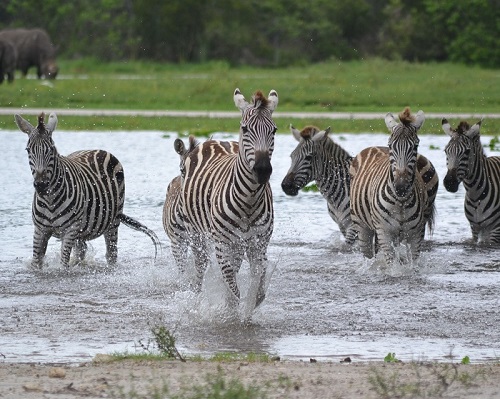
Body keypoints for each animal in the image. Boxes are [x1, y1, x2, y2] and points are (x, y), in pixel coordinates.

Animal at [15, 111, 160, 268]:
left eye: (52, 150)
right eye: (28, 150)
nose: (41, 185)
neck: (50, 200)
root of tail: (97, 149)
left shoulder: (70, 230)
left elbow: (63, 265)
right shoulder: (40, 230)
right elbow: (36, 263)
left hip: (113, 221)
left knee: (111, 254)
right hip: (81, 231)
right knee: (81, 251)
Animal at [166, 89, 280, 310]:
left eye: (274, 130)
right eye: (245, 129)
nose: (263, 170)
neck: (249, 201)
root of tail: (216, 140)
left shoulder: (259, 243)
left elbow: (259, 288)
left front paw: (248, 308)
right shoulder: (222, 245)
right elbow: (233, 290)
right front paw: (230, 313)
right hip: (197, 234)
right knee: (201, 266)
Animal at [348, 108, 438, 264]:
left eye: (415, 146)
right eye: (391, 146)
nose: (400, 187)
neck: (401, 202)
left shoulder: (416, 234)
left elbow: (413, 263)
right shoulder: (384, 232)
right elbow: (391, 263)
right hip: (362, 226)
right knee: (368, 254)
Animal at [442, 117, 500, 245]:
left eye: (467, 152)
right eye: (445, 151)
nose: (449, 183)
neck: (475, 195)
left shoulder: (496, 231)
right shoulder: (474, 229)